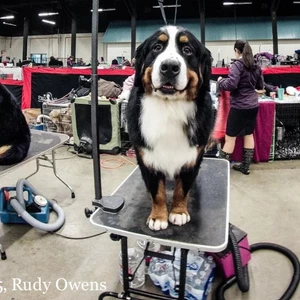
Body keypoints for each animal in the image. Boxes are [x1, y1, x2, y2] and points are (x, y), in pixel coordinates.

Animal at [127, 26, 213, 232]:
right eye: (157, 47)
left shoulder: (192, 157)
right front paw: (158, 217)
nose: (169, 67)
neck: (170, 107)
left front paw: (179, 212)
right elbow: (157, 191)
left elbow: (182, 189)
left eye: (187, 50)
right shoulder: (147, 157)